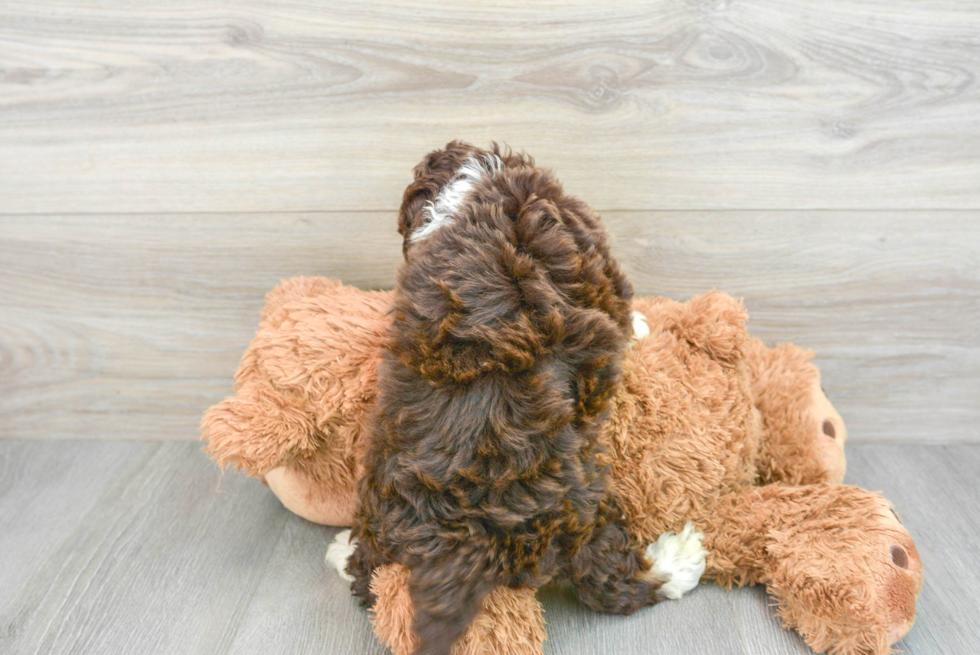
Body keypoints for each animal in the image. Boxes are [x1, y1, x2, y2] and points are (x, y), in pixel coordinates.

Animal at [348, 144, 664, 655]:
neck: (472, 186)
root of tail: (459, 541)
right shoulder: (603, 275)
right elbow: (622, 311)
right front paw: (639, 327)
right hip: (582, 506)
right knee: (608, 577)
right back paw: (678, 559)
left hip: (379, 501)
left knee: (368, 574)